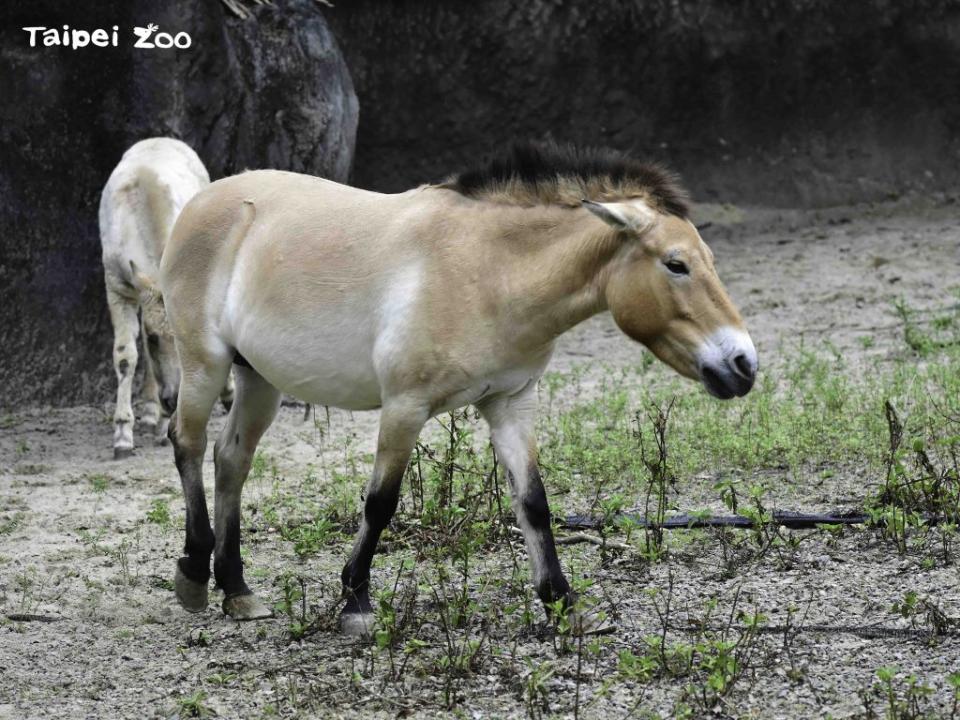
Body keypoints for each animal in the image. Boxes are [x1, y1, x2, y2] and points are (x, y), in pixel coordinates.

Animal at [100, 138, 232, 458]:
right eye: (153, 337)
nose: (172, 400)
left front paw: (162, 426)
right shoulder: (117, 286)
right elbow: (126, 355)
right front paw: (123, 435)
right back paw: (149, 412)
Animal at [159, 142, 756, 636]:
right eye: (676, 265)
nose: (743, 364)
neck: (489, 271)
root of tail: (203, 200)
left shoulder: (512, 404)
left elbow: (533, 503)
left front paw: (563, 603)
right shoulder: (405, 407)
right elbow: (381, 503)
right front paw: (356, 604)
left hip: (259, 378)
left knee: (231, 460)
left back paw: (236, 589)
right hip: (205, 364)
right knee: (186, 441)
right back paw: (193, 575)